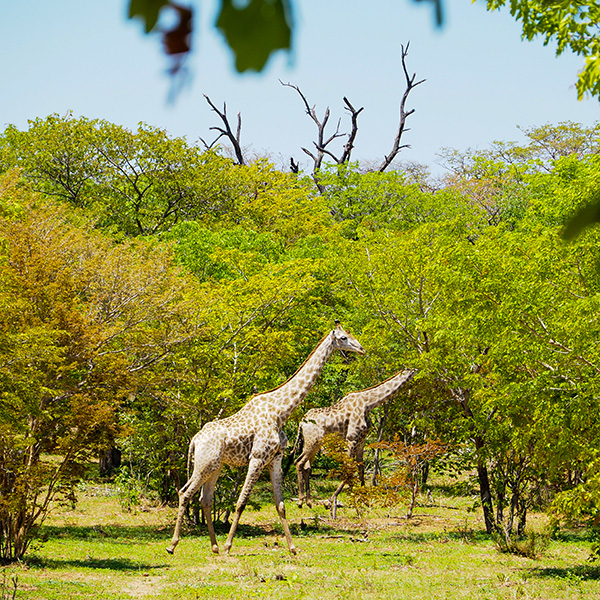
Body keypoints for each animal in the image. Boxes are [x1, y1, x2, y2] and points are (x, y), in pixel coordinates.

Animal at [165, 322, 366, 556]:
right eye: (343, 338)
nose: (361, 349)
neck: (281, 411)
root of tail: (194, 440)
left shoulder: (275, 458)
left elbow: (280, 504)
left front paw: (292, 548)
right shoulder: (257, 457)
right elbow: (241, 502)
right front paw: (229, 545)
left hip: (214, 466)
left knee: (204, 499)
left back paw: (214, 547)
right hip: (204, 464)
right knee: (184, 493)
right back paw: (173, 545)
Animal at [292, 366, 414, 510]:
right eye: (412, 371)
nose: (416, 371)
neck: (368, 404)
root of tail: (301, 422)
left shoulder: (361, 441)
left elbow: (361, 468)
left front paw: (365, 499)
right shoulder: (352, 438)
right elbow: (349, 468)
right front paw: (332, 499)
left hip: (315, 444)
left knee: (307, 467)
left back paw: (309, 502)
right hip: (312, 442)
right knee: (299, 462)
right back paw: (300, 501)